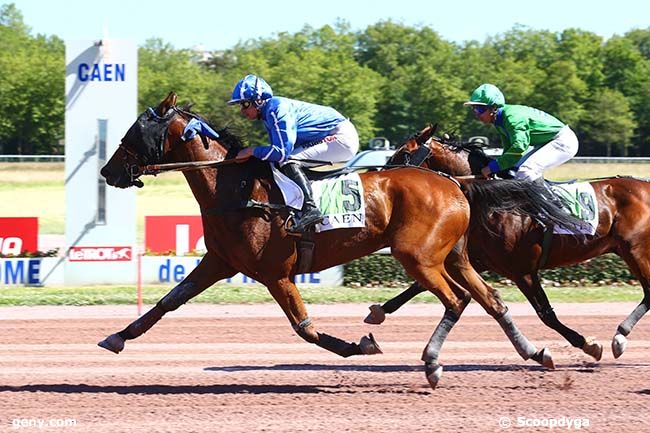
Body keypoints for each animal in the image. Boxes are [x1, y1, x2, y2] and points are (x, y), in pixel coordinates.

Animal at [96, 93, 568, 386]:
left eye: (136, 130)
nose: (107, 171)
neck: (236, 190)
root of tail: (453, 181)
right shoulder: (221, 262)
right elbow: (168, 301)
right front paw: (116, 336)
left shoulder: (275, 273)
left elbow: (305, 328)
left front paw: (360, 345)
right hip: (455, 257)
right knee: (491, 300)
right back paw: (536, 352)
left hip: (417, 256)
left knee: (457, 300)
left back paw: (433, 364)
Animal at [364, 125, 648, 362]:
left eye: (403, 153)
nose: (381, 177)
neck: (496, 201)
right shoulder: (481, 260)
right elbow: (418, 286)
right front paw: (379, 312)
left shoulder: (523, 271)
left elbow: (547, 314)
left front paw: (587, 345)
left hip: (636, 250)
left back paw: (619, 337)